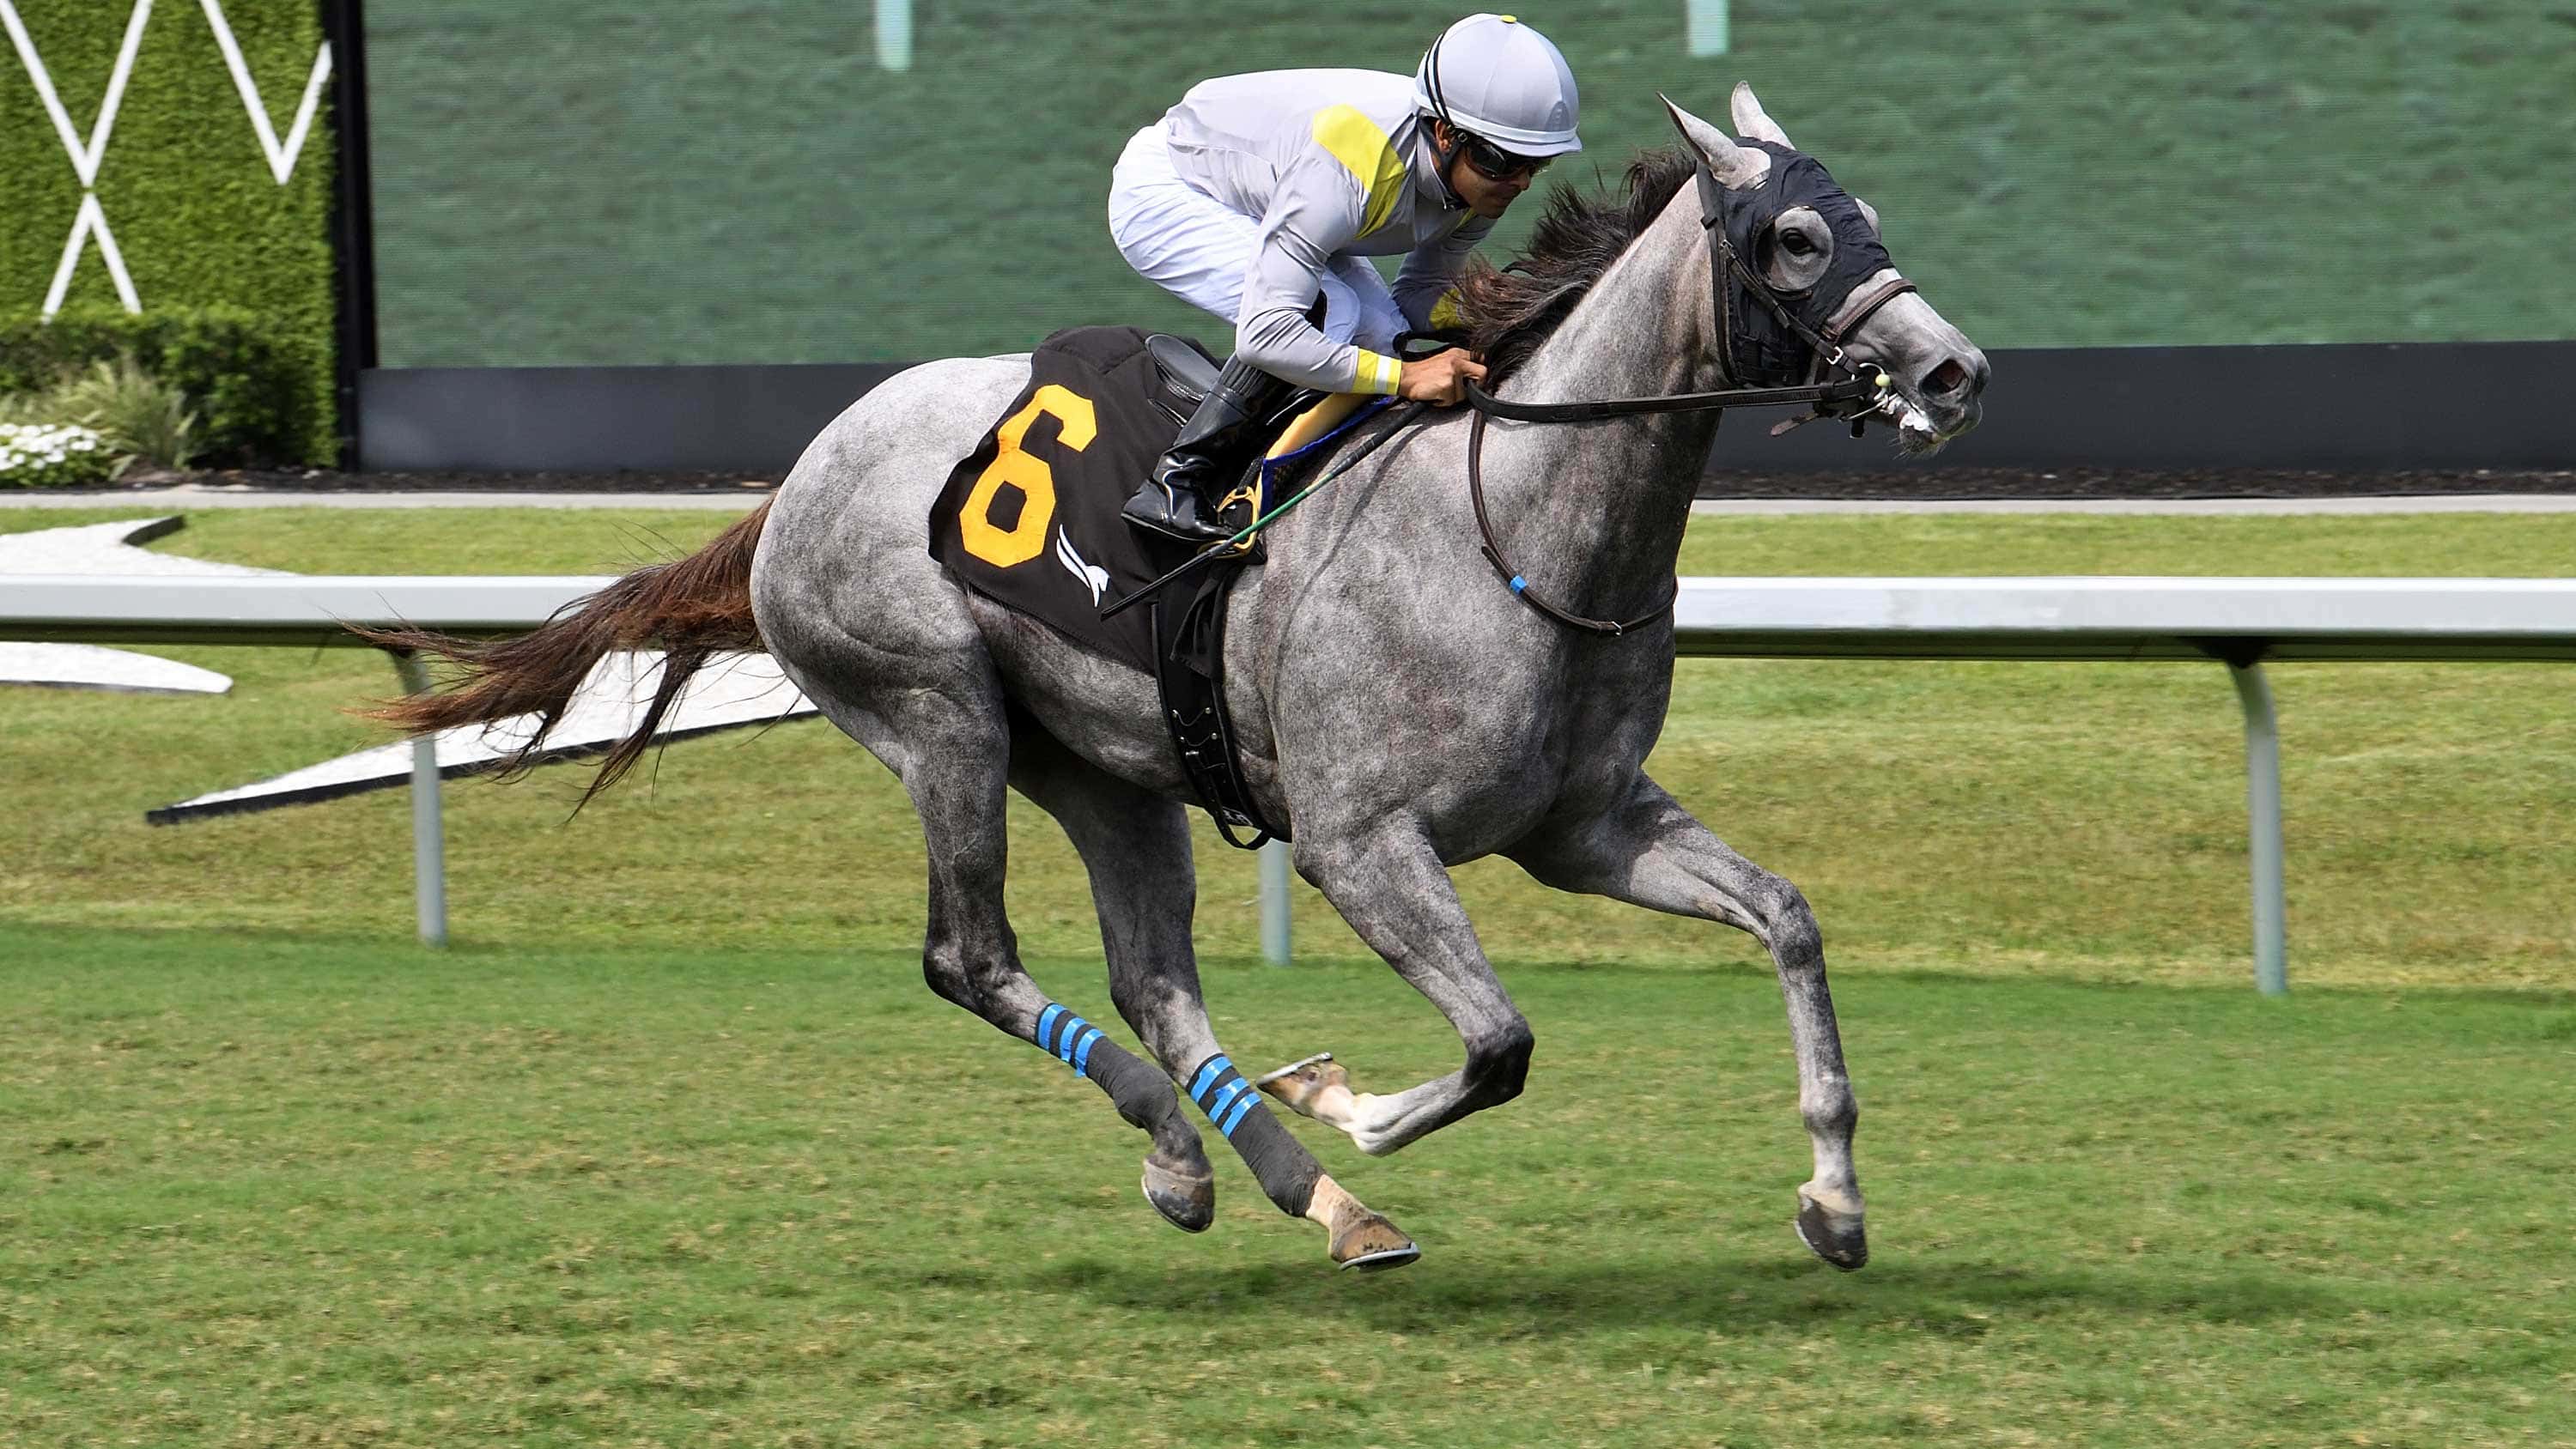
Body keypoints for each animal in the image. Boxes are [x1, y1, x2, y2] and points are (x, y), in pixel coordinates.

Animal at [366, 88, 1988, 1274]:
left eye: (1868, 219)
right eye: (1795, 238)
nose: (1954, 371)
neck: (1517, 517)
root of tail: (796, 477)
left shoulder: (1583, 826)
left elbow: (1787, 918)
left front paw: (1836, 1200)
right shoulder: (1361, 843)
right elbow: (1498, 1043)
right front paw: (1349, 1101)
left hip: (1106, 766)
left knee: (1158, 985)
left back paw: (1303, 1195)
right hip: (940, 716)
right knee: (973, 959)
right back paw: (1204, 1149)